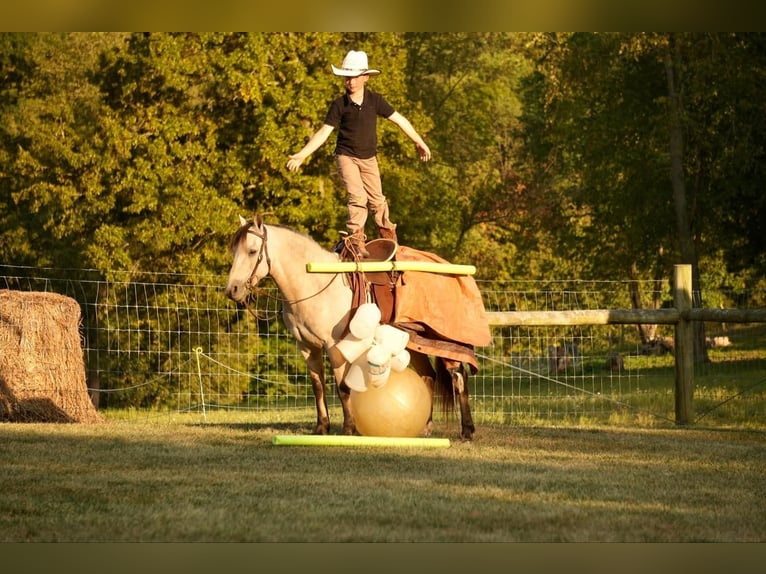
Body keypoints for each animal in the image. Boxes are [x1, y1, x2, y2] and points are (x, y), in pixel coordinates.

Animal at [225, 216, 492, 440]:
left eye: (252, 251)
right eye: (234, 250)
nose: (232, 290)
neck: (315, 283)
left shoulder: (335, 346)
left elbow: (343, 388)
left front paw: (349, 428)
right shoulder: (307, 347)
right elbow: (318, 387)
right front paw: (321, 427)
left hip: (445, 342)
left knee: (458, 378)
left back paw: (467, 430)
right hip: (414, 342)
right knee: (429, 376)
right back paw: (425, 427)